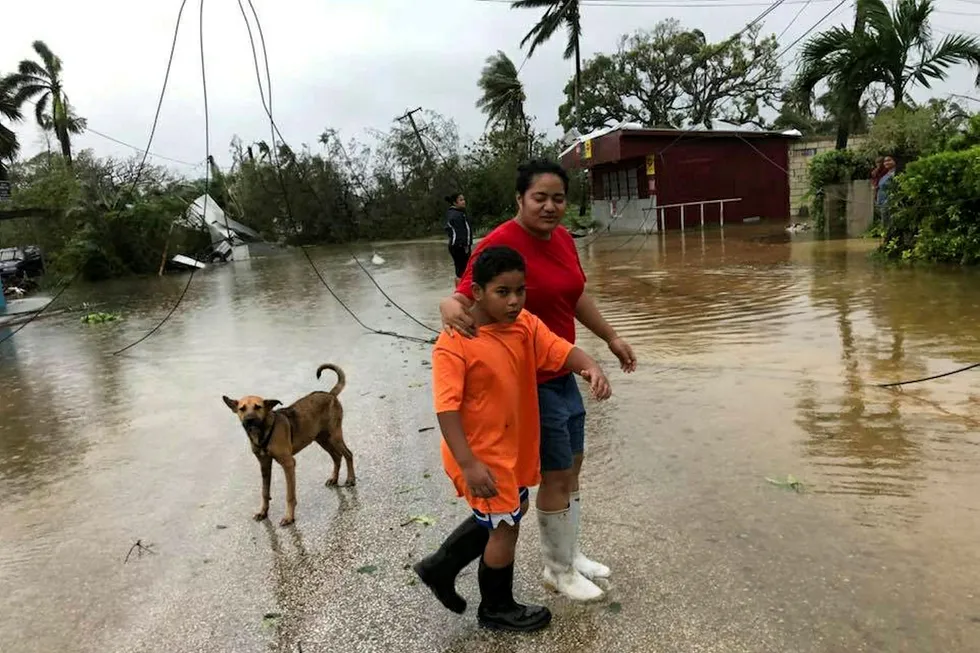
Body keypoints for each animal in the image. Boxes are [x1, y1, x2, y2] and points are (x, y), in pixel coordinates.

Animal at [224, 364, 354, 528]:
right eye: (242, 409)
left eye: (258, 407)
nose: (249, 420)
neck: (263, 432)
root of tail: (330, 395)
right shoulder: (264, 465)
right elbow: (264, 492)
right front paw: (263, 512)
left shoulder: (289, 464)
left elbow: (289, 495)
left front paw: (289, 517)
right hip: (321, 438)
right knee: (337, 456)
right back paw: (334, 479)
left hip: (335, 436)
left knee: (348, 454)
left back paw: (350, 479)